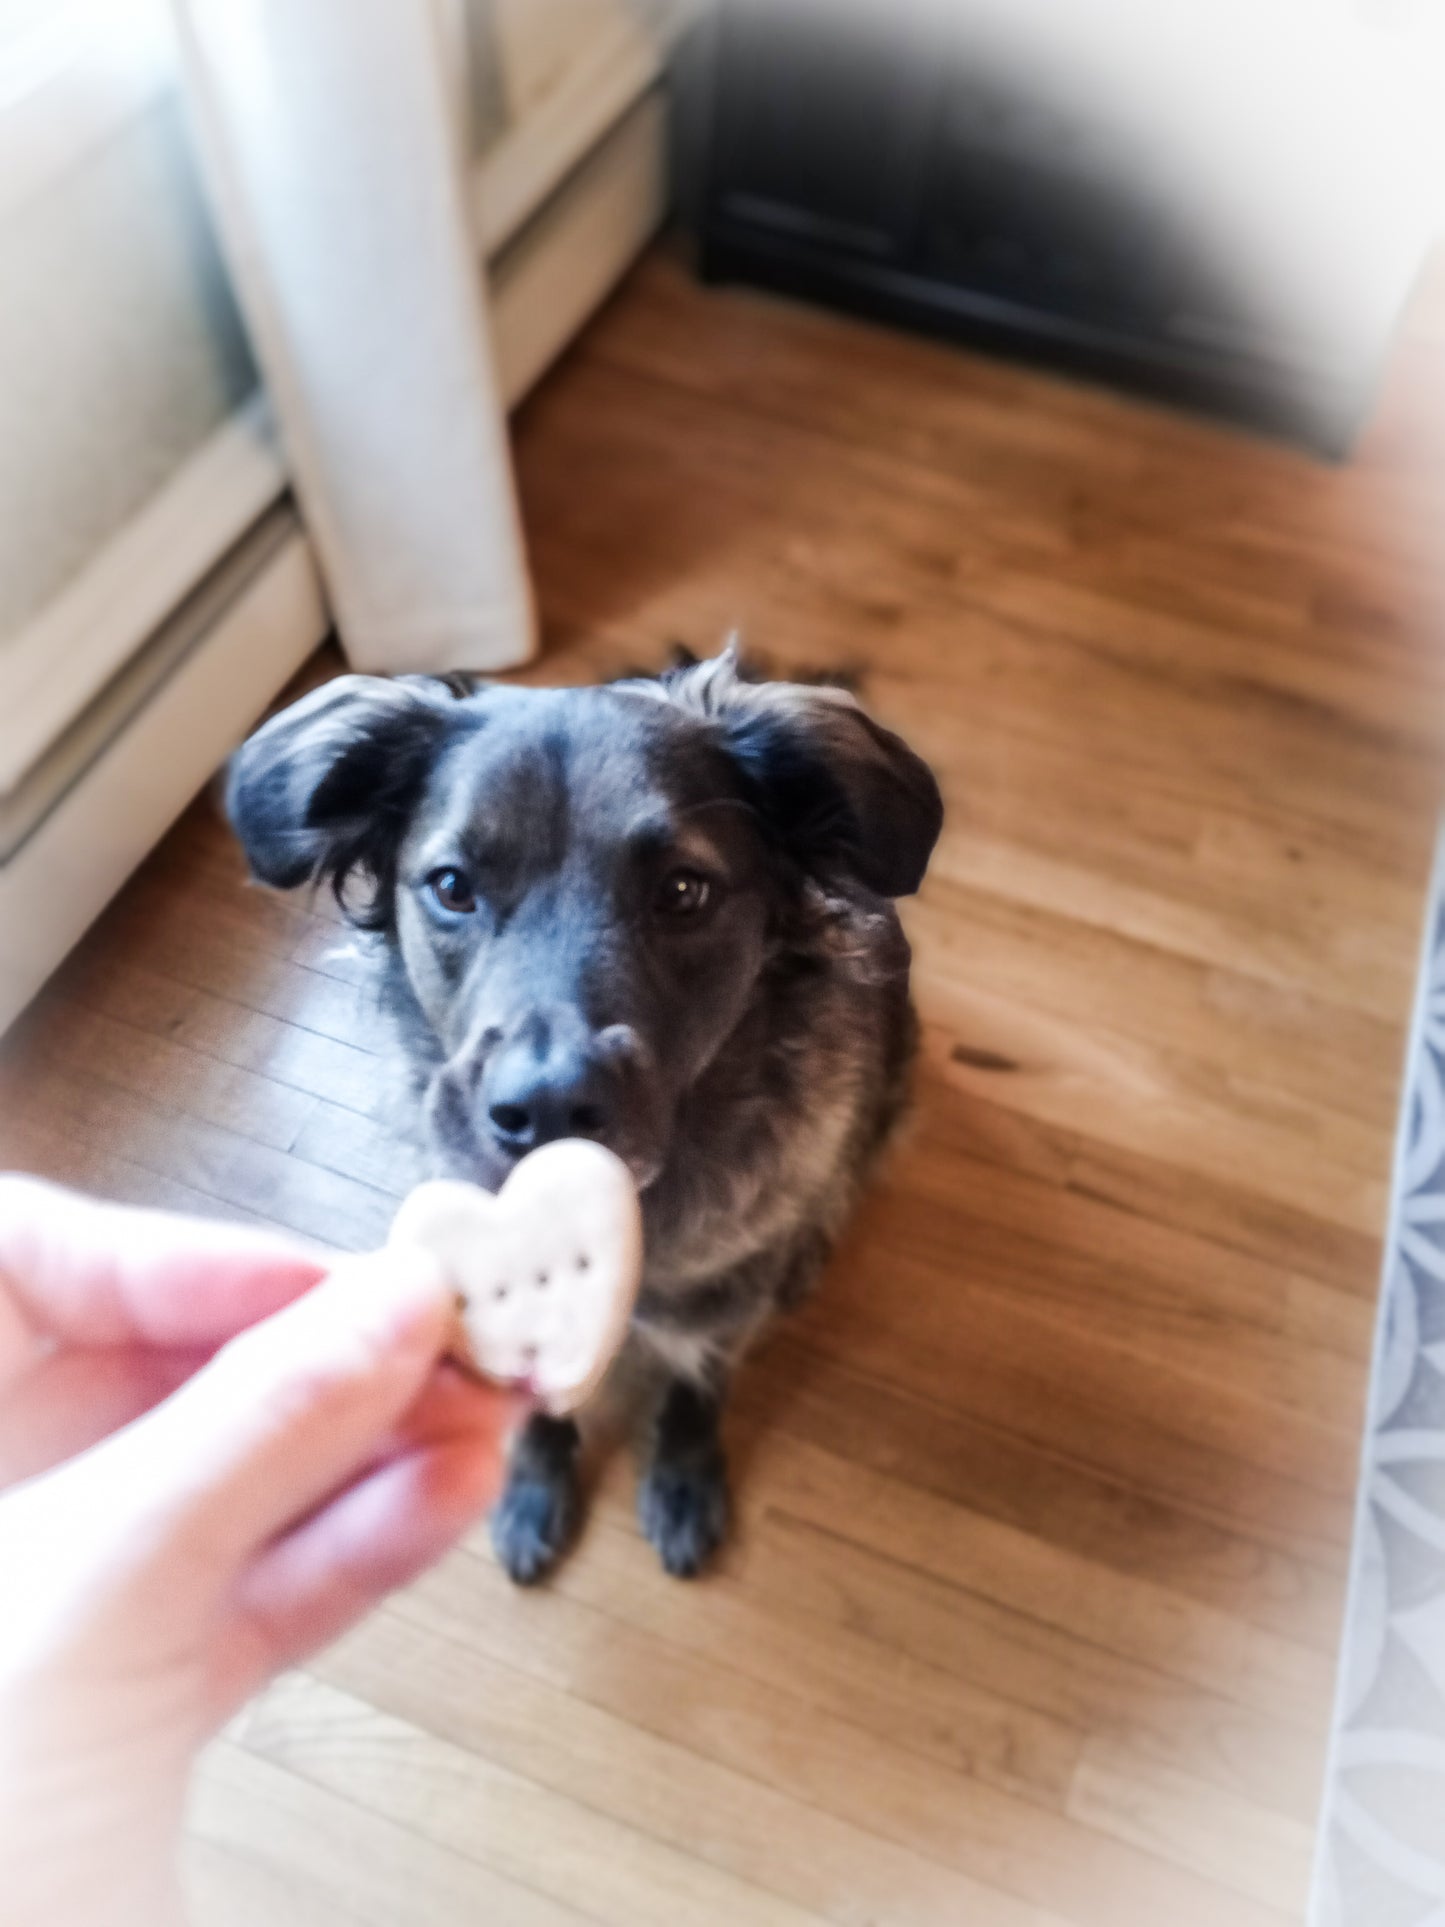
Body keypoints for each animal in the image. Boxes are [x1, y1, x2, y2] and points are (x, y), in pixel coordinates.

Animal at [226, 647, 944, 1580]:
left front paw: (682, 1472)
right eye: (451, 886)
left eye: (684, 890)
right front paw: (536, 1478)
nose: (544, 1108)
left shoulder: (722, 1301)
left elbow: (695, 1386)